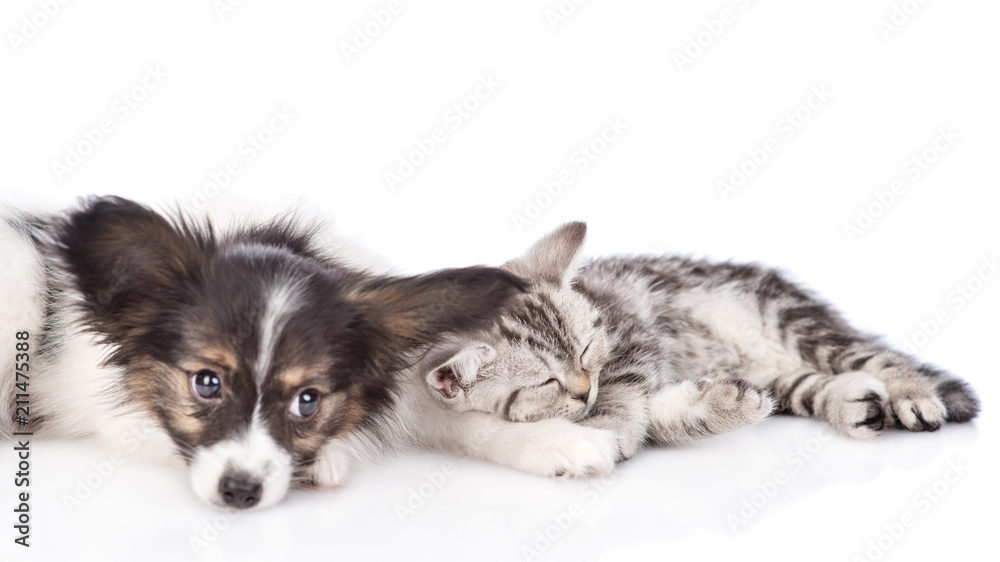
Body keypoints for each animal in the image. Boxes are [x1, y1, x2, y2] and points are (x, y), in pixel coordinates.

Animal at [386, 221, 980, 474]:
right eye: (544, 382)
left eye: (586, 351)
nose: (582, 391)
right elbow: (663, 414)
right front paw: (713, 405)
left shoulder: (630, 332)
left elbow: (626, 394)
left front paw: (609, 425)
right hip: (776, 371)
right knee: (809, 383)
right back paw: (853, 402)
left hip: (793, 321)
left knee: (876, 357)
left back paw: (911, 394)